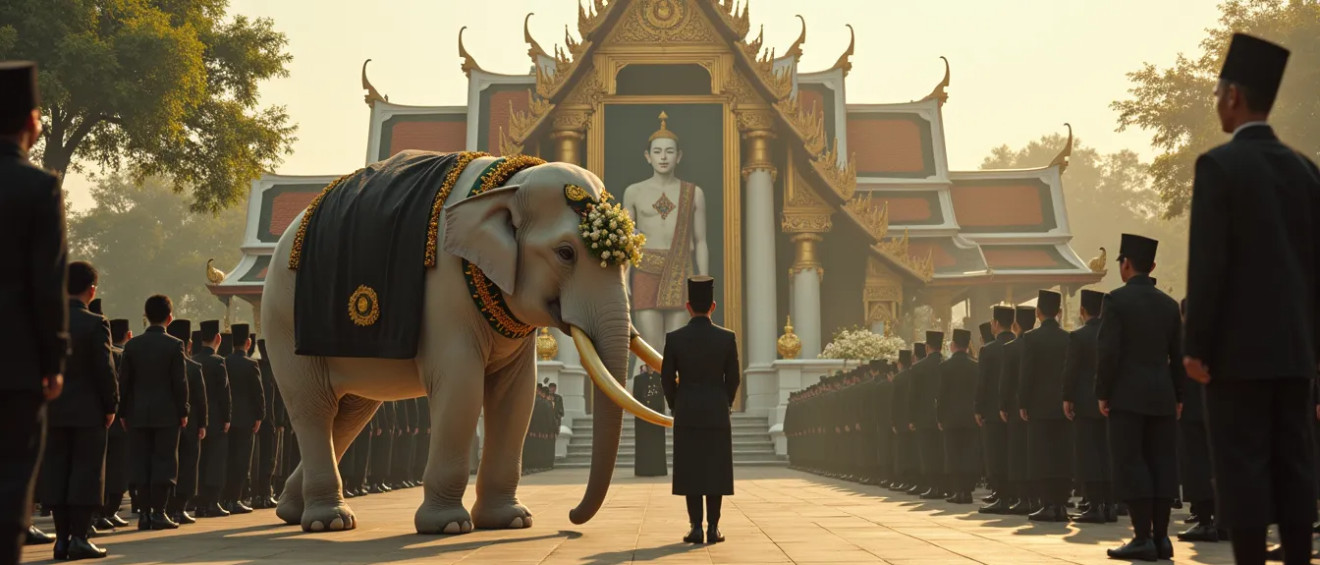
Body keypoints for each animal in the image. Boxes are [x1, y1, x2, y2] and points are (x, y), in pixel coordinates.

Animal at [261, 153, 671, 534]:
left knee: (351, 414)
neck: (508, 186)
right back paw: (328, 520)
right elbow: (462, 389)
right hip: (283, 315)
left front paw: (512, 520)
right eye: (566, 253)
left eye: (630, 256)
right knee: (314, 406)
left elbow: (517, 395)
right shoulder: (444, 296)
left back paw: (292, 512)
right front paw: (449, 526)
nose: (571, 517)